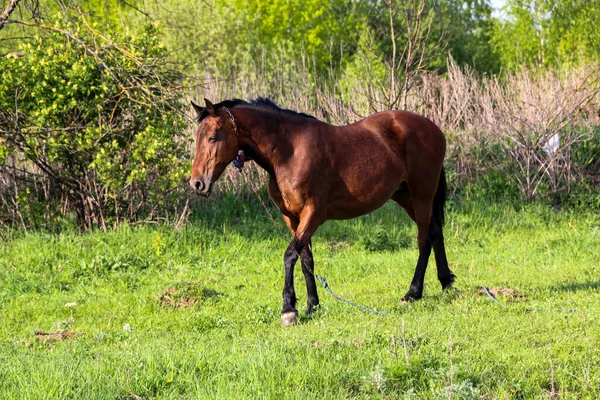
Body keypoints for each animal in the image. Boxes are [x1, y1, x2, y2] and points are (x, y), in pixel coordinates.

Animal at [191, 97, 454, 324]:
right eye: (197, 138)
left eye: (213, 137)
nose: (197, 183)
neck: (290, 151)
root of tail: (433, 128)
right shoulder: (292, 218)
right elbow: (306, 258)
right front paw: (312, 305)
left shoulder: (313, 214)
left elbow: (290, 255)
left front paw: (289, 309)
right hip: (405, 196)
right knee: (435, 231)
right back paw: (446, 282)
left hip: (421, 195)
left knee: (424, 239)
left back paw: (413, 293)